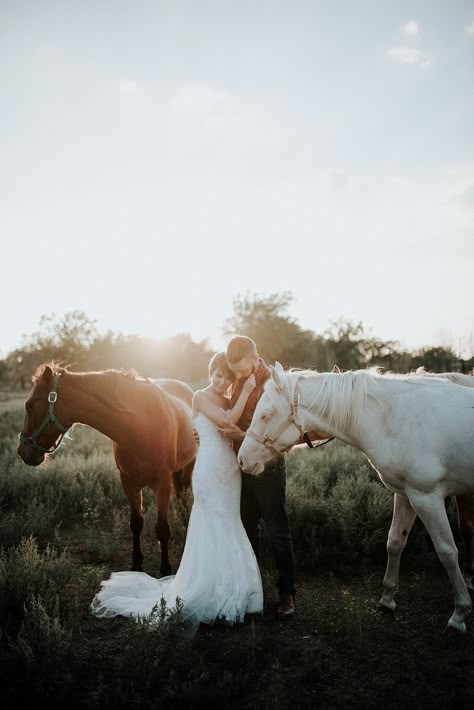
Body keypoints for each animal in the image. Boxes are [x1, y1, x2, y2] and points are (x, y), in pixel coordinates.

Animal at [17, 364, 196, 576]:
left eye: (29, 405)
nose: (22, 452)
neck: (139, 424)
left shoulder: (162, 483)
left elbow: (162, 529)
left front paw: (166, 571)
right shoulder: (128, 481)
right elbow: (136, 524)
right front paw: (136, 567)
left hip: (188, 467)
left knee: (185, 497)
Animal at [239, 368, 474, 636]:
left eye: (265, 415)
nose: (242, 459)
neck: (395, 418)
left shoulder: (427, 497)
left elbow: (447, 552)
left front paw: (459, 614)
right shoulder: (407, 494)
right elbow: (395, 542)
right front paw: (387, 599)